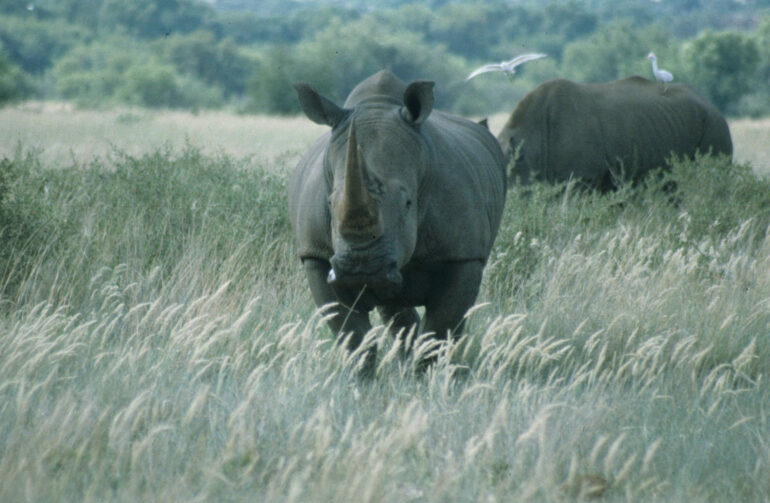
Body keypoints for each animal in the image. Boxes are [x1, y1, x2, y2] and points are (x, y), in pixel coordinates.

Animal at [289, 70, 507, 375]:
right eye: (330, 204)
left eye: (408, 204)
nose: (361, 269)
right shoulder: (316, 254)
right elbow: (351, 334)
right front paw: (361, 379)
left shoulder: (463, 253)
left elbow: (440, 327)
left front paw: (424, 377)